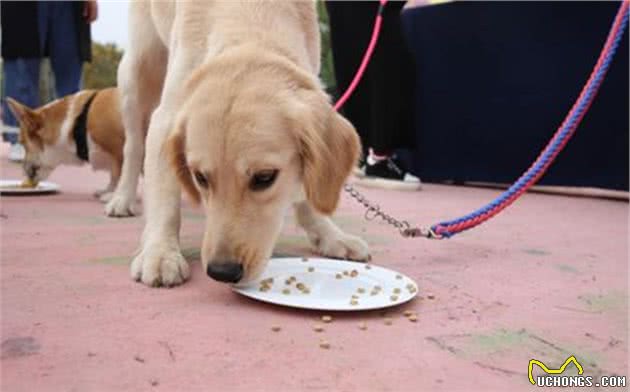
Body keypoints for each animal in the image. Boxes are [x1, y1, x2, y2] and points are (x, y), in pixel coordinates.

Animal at [113, 0, 370, 288]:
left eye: (264, 177)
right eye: (200, 177)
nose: (221, 272)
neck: (252, 16)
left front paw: (330, 236)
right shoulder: (166, 118)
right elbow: (164, 198)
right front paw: (160, 252)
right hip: (137, 71)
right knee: (133, 147)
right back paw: (121, 198)